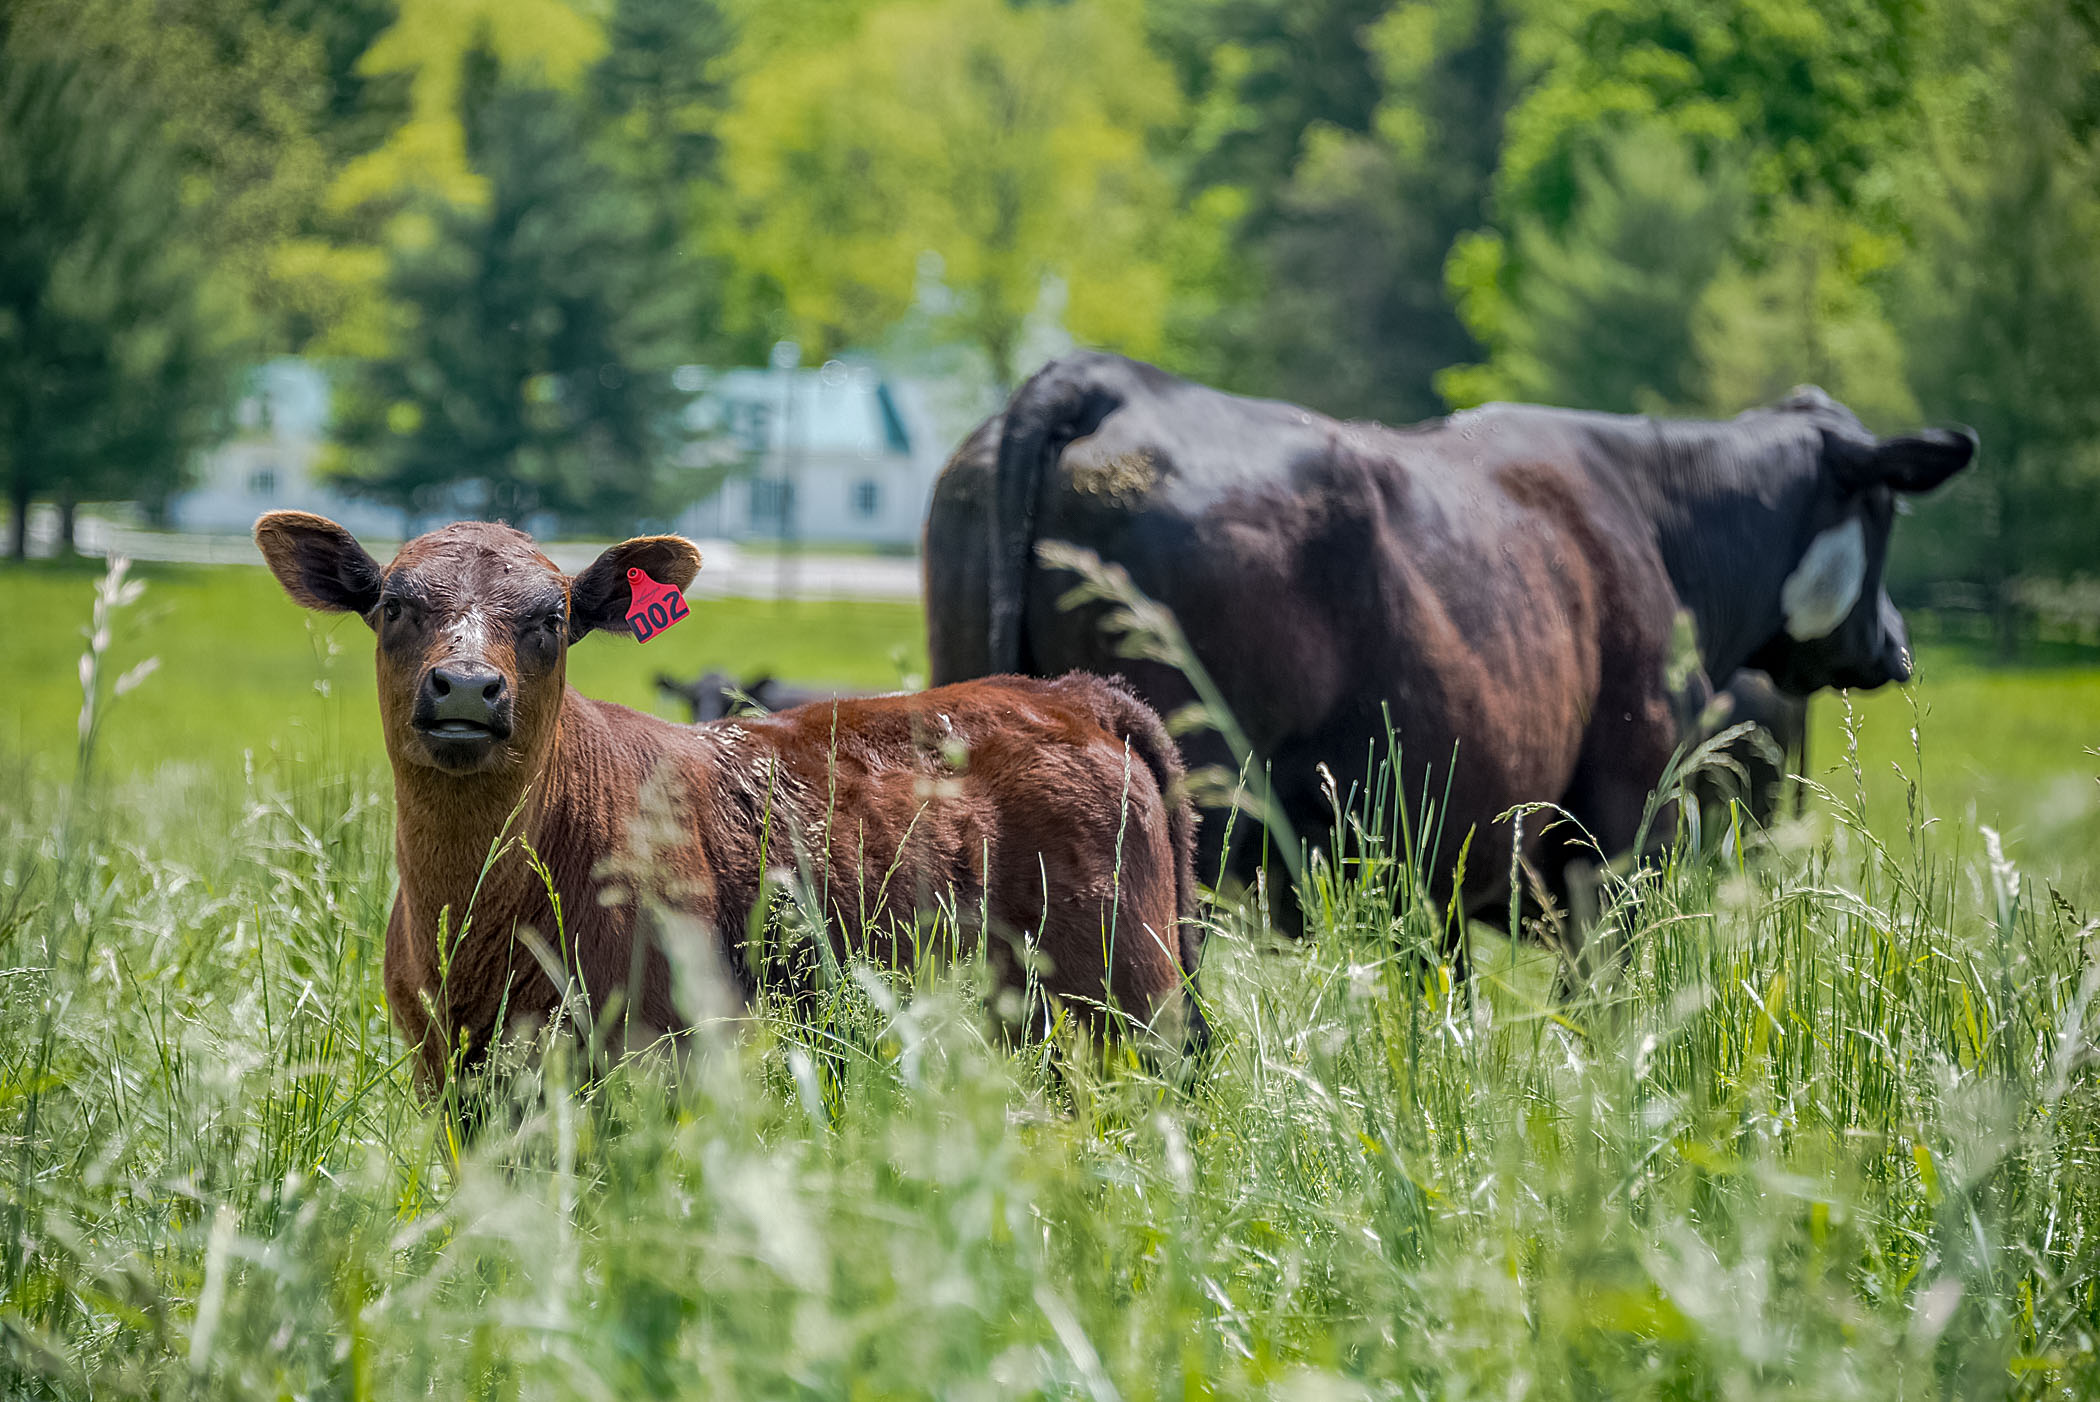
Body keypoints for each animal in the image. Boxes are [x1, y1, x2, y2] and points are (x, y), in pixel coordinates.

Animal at [254, 510, 1209, 1091]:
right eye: (392, 605)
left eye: (553, 618)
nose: (465, 686)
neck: (477, 914)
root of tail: (1069, 694)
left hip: (1126, 1001)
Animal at [919, 350, 1965, 923]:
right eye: (1888, 513)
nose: (1897, 641)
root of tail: (1109, 378)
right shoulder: (1621, 818)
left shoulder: (1450, 856)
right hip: (1199, 796)